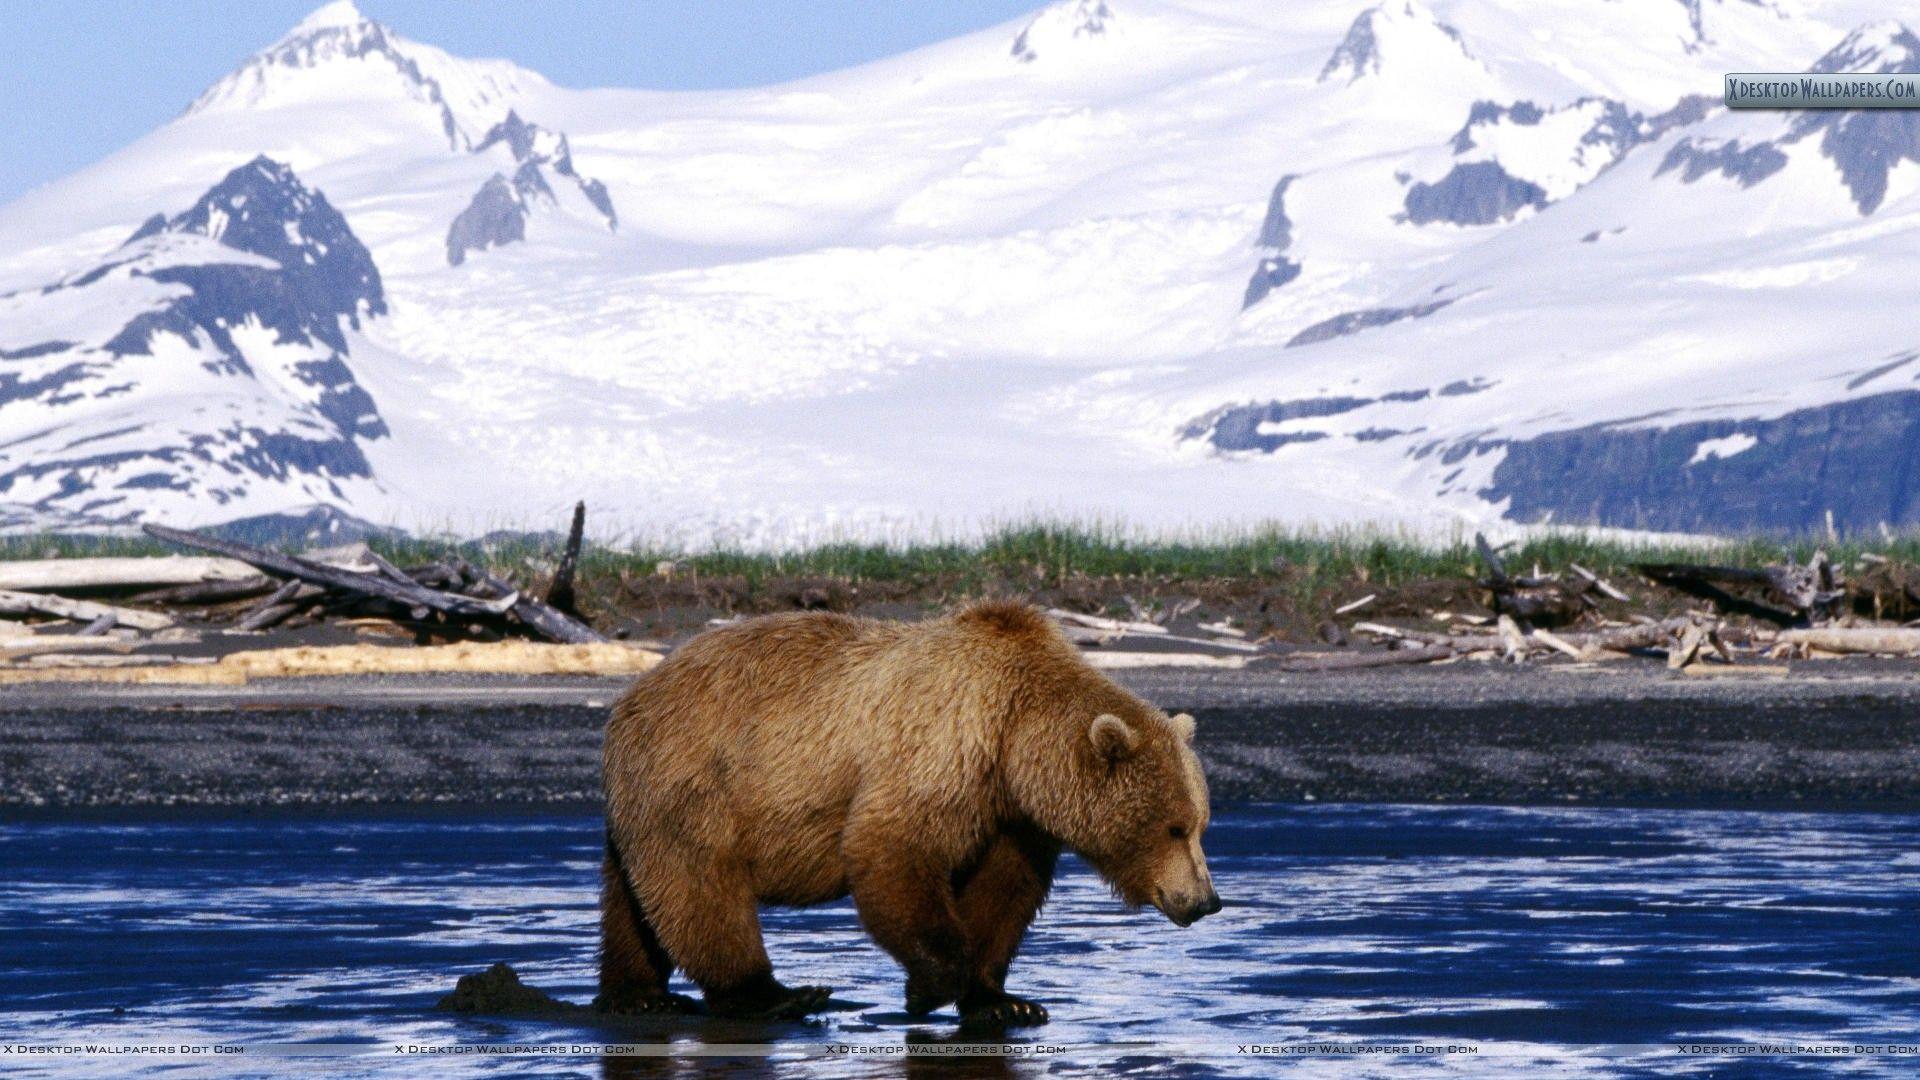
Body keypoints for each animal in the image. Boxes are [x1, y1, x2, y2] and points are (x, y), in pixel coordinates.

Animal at [596, 599, 1219, 1027]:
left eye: (1200, 824)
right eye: (1173, 827)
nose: (1206, 900)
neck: (1015, 738)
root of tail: (630, 697)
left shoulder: (1012, 816)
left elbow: (1003, 893)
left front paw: (1005, 1002)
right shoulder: (944, 746)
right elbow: (891, 847)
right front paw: (928, 988)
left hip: (647, 798)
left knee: (634, 898)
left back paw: (639, 994)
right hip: (697, 778)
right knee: (701, 886)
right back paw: (774, 994)